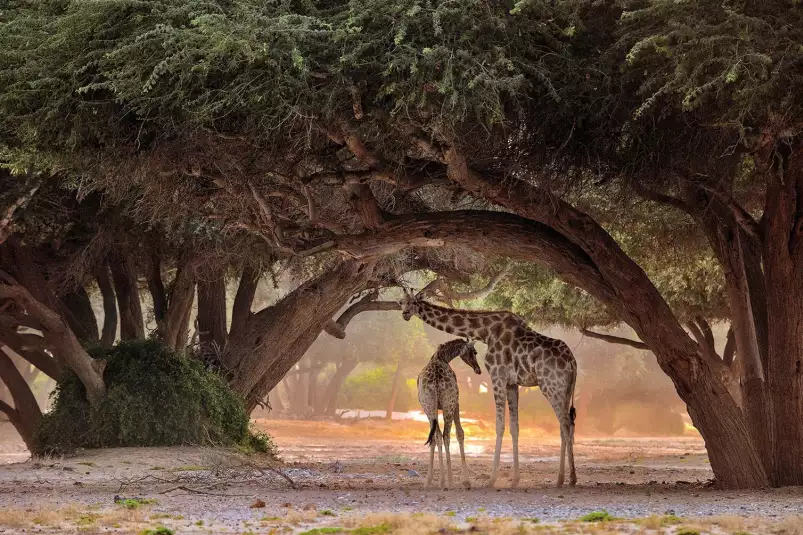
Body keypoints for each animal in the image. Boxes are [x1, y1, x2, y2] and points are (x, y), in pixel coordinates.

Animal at [418, 340, 480, 490]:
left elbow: (434, 438)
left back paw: (439, 480)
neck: (442, 356)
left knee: (437, 436)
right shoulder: (456, 403)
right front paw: (466, 481)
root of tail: (435, 381)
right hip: (448, 404)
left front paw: (430, 480)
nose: (478, 369)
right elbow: (460, 433)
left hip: (429, 406)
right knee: (446, 435)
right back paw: (450, 480)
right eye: (475, 352)